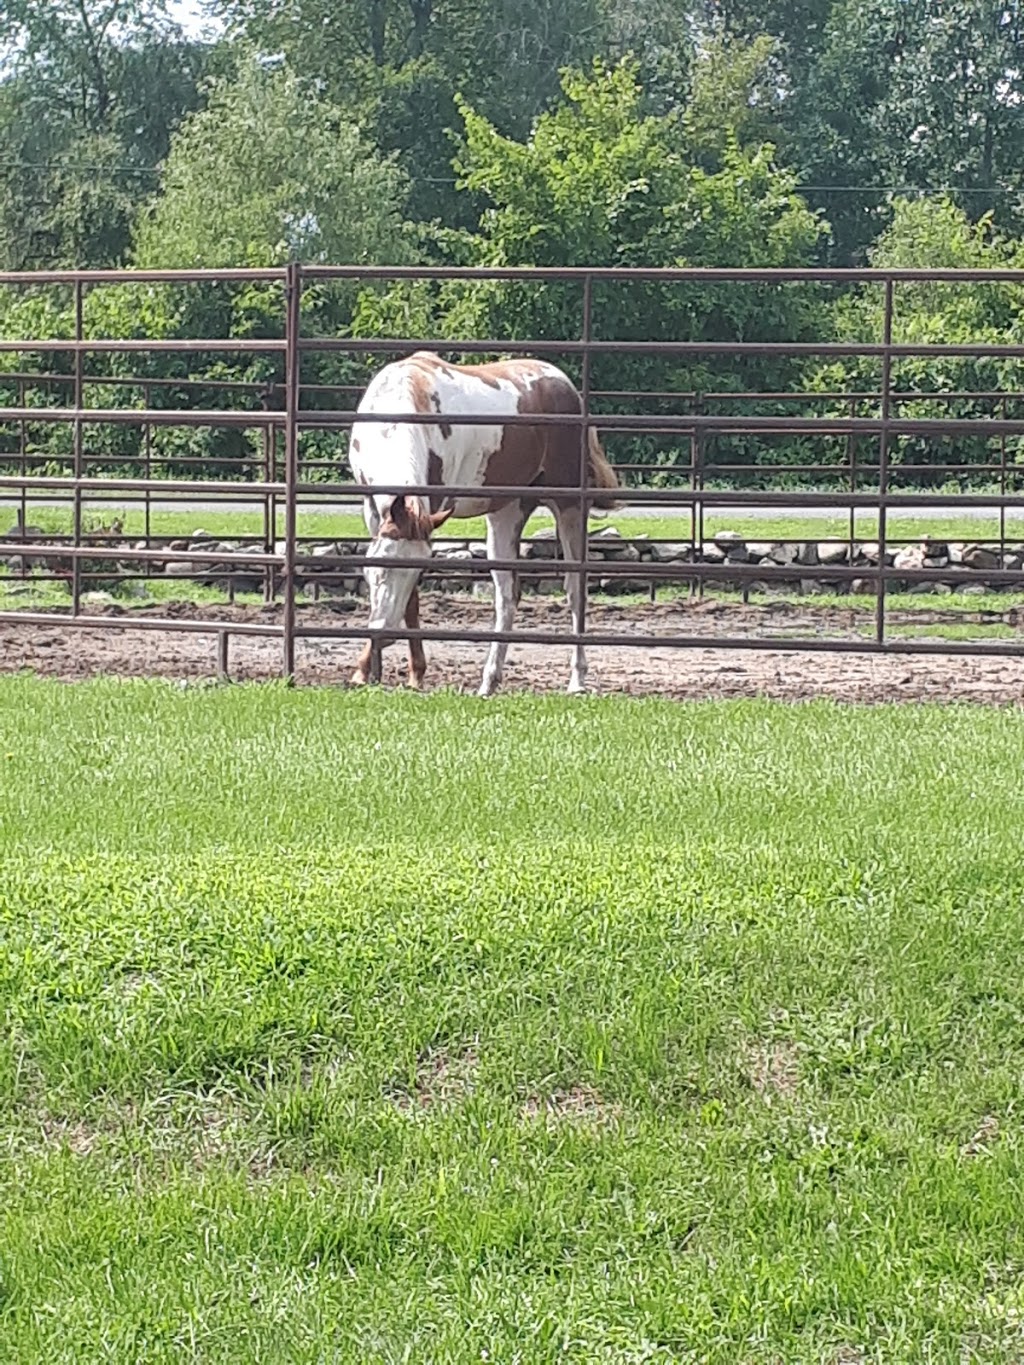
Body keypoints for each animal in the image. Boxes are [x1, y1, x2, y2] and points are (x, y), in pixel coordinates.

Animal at [349, 352, 622, 698]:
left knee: (575, 590)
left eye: (415, 574)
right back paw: (489, 681)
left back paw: (577, 680)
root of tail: (567, 386)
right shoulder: (374, 511)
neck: (395, 412)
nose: (383, 634)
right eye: (378, 570)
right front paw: (367, 671)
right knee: (507, 596)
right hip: (506, 513)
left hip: (569, 508)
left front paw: (412, 674)